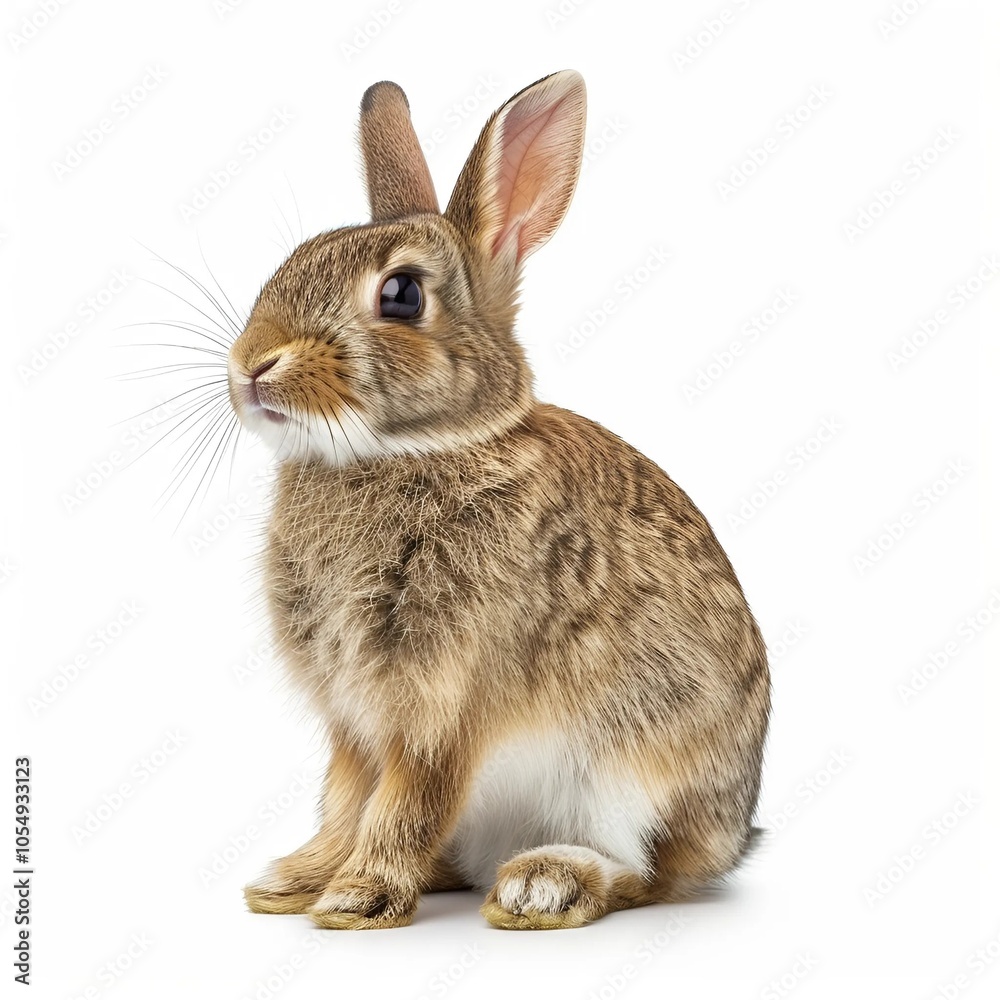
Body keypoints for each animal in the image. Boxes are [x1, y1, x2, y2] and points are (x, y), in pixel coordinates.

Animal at [230, 70, 770, 930]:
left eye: (401, 295)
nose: (251, 363)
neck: (414, 448)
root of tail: (728, 836)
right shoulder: (353, 717)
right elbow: (345, 797)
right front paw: (293, 881)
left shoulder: (447, 704)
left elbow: (408, 799)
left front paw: (356, 895)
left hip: (630, 775)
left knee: (644, 874)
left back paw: (542, 883)